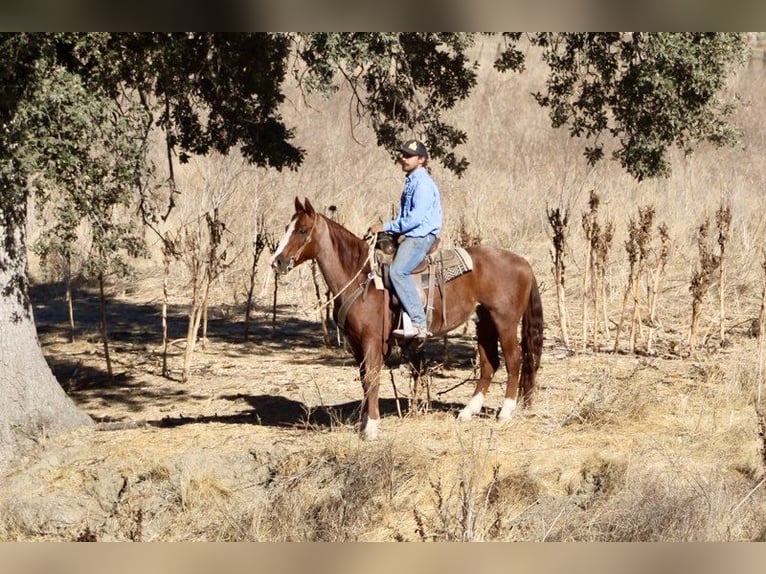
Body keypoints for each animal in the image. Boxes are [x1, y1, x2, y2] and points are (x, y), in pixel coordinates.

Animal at [272, 198, 544, 440]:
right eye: (287, 228)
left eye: (302, 230)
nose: (278, 262)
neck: (360, 276)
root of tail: (523, 262)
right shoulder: (356, 344)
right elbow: (364, 379)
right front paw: (363, 422)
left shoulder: (372, 341)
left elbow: (372, 377)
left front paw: (371, 427)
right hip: (484, 321)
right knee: (489, 363)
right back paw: (468, 412)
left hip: (505, 322)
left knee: (514, 360)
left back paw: (505, 412)